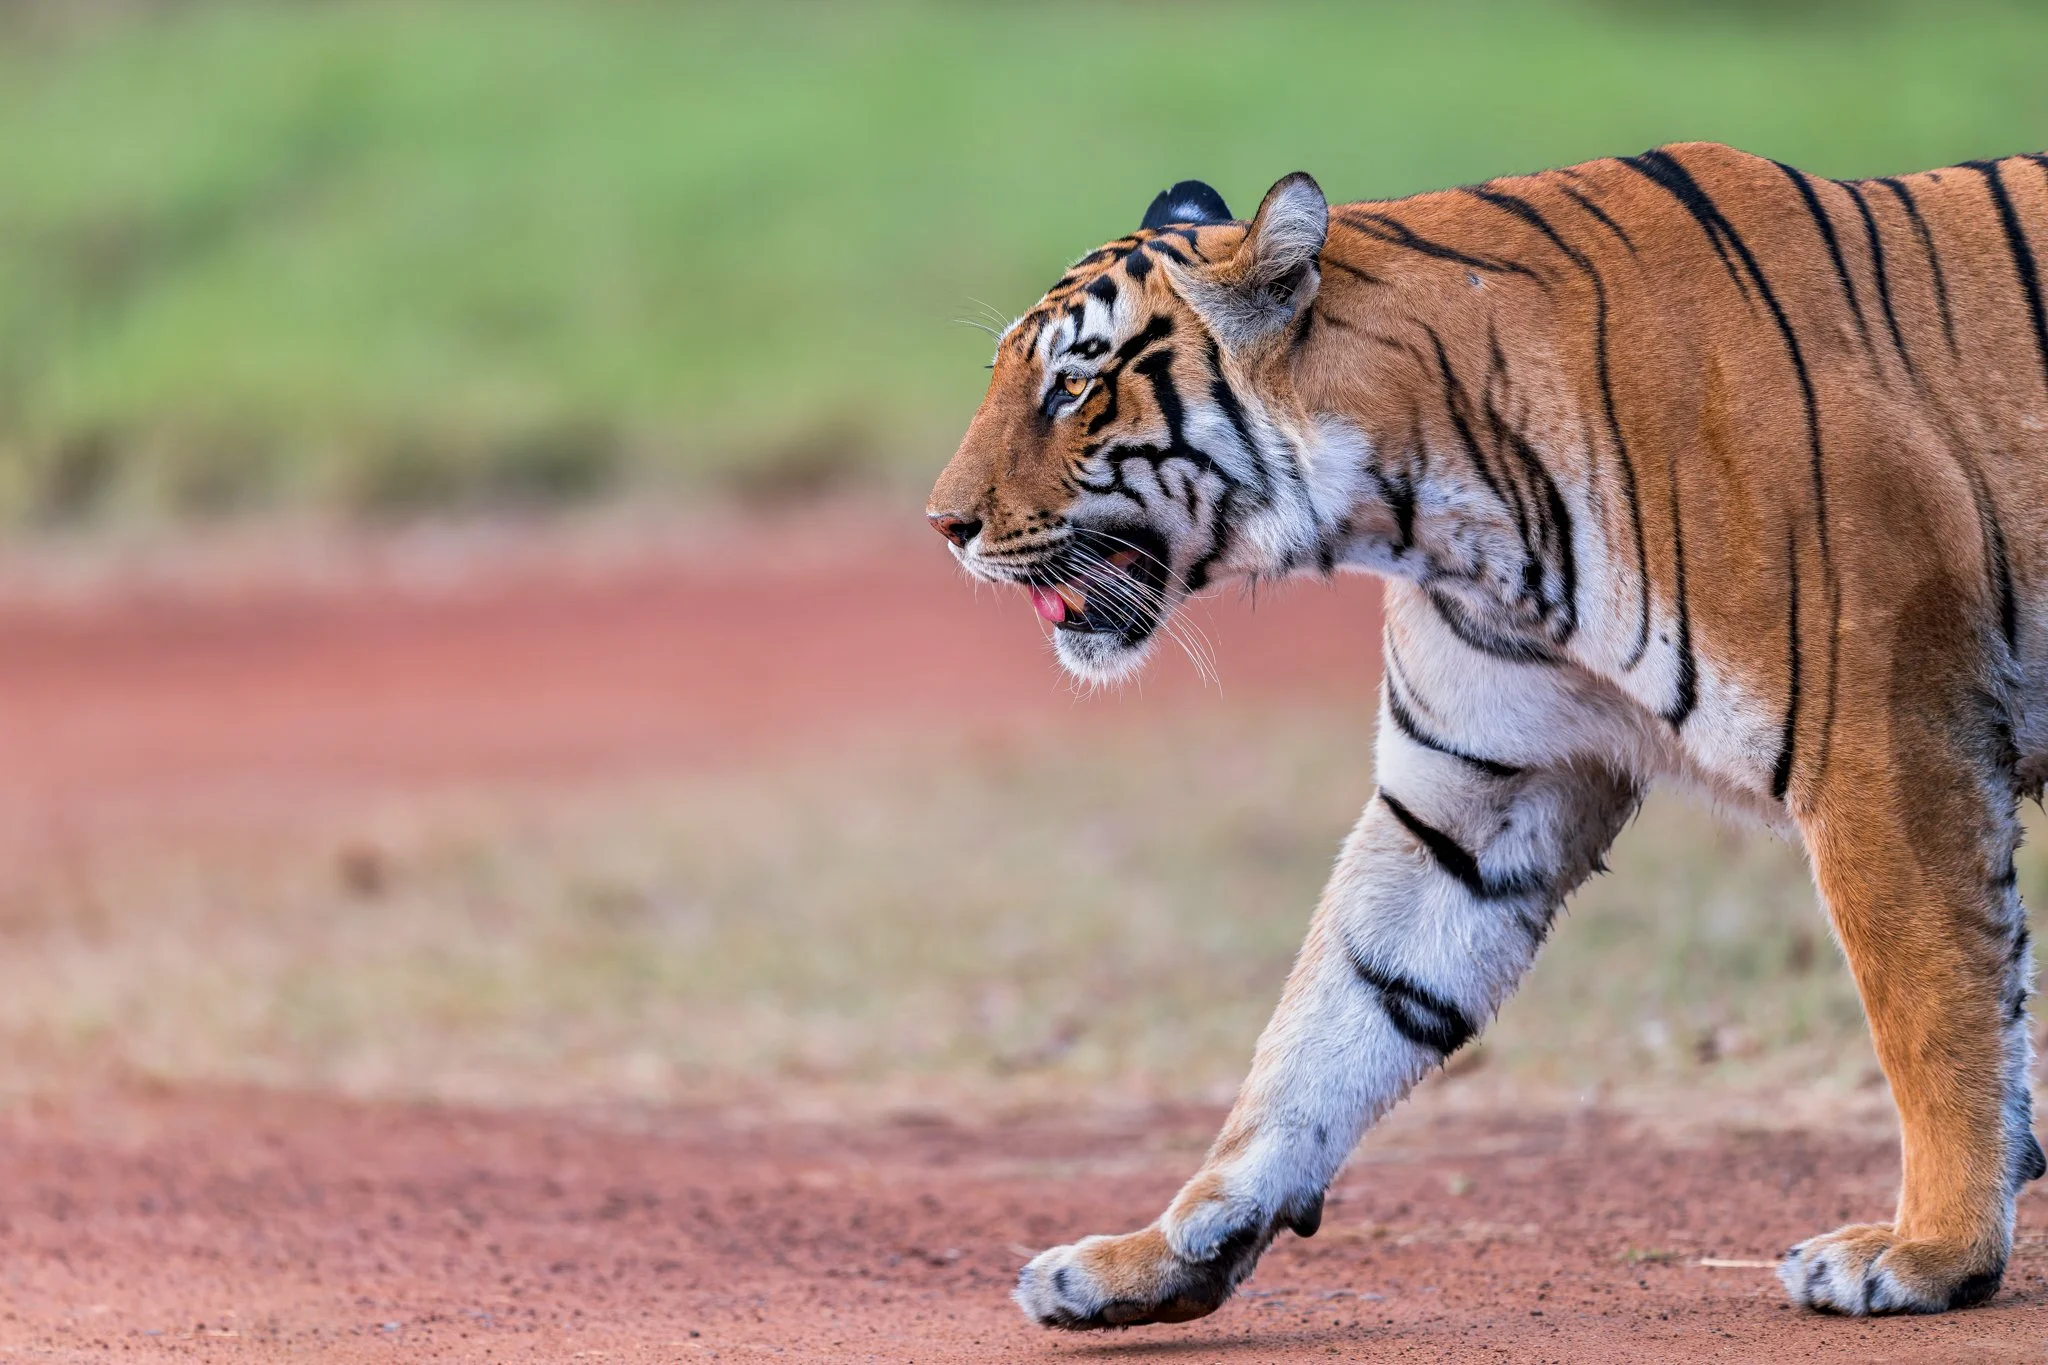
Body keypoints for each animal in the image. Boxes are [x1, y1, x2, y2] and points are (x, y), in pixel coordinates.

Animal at [926, 143, 2048, 1325]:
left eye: (1073, 385)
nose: (943, 524)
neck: (1433, 513)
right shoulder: (1473, 795)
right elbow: (1330, 1019)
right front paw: (1157, 1254)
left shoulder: (1884, 746)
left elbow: (1932, 1005)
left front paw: (1929, 1251)